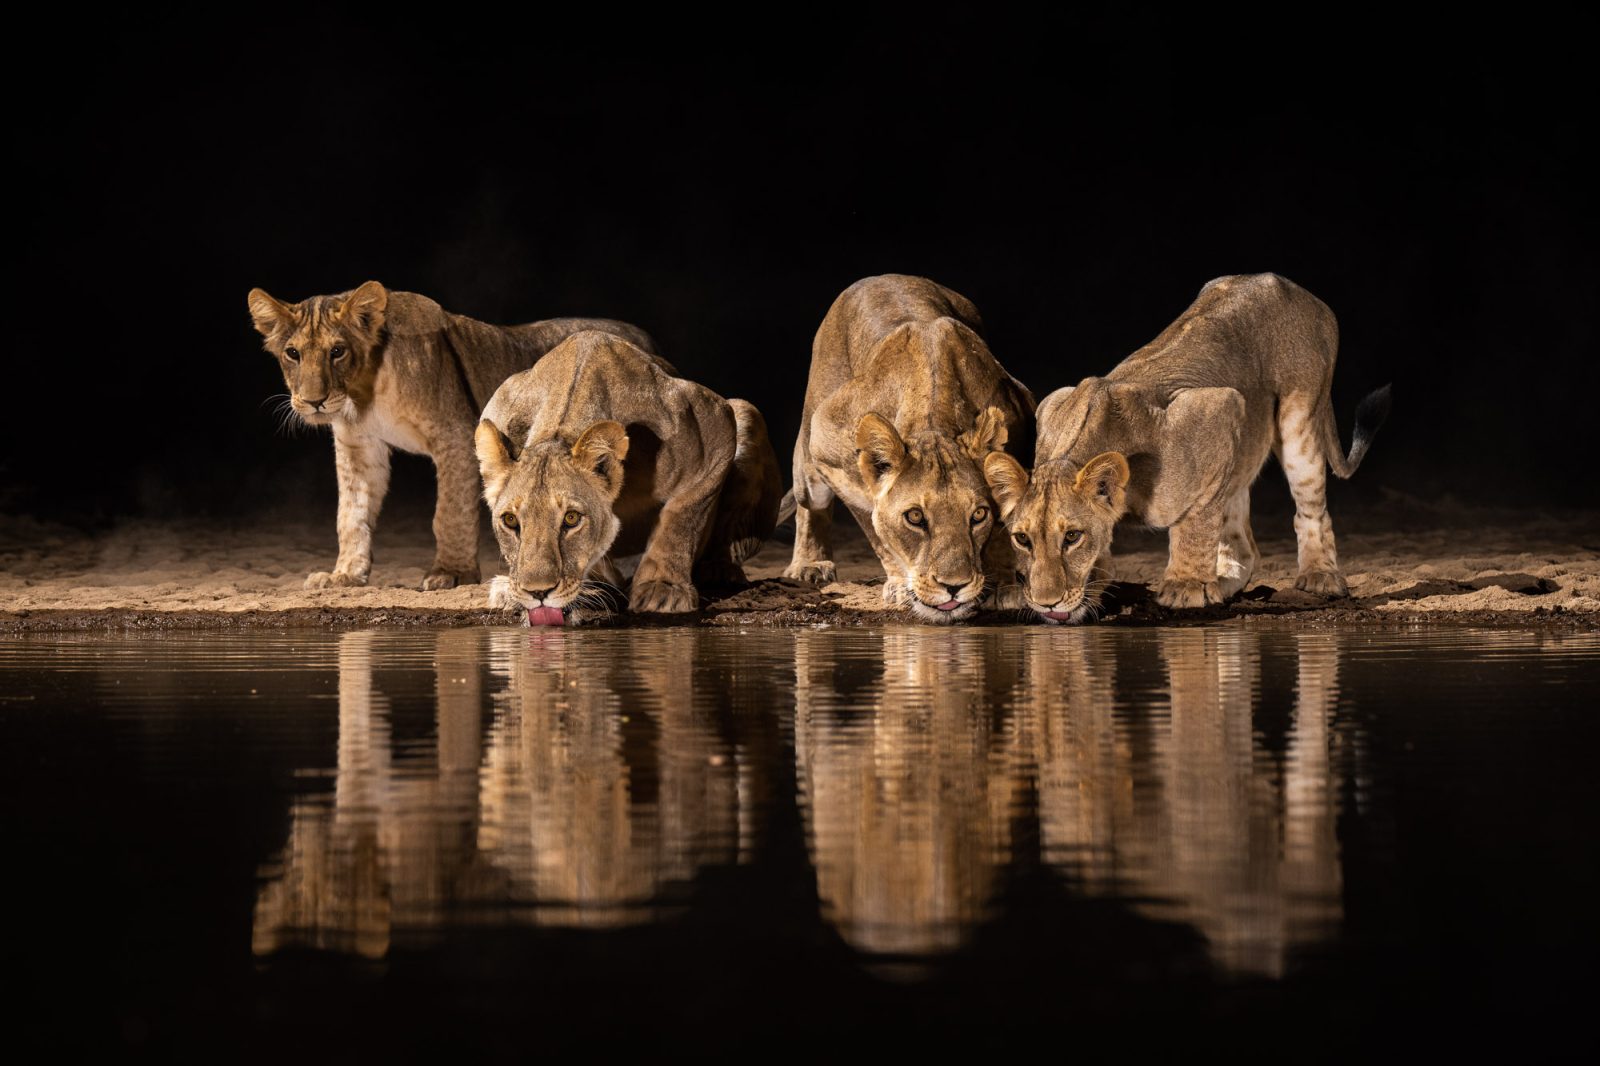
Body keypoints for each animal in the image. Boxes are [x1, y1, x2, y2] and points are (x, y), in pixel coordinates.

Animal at [247, 281, 654, 590]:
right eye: (292, 353)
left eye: (337, 351)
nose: (314, 401)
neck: (363, 394)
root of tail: (642, 338)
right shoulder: (359, 446)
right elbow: (351, 513)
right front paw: (345, 575)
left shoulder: (455, 434)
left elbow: (449, 513)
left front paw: (452, 573)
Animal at [474, 330, 782, 624]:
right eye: (510, 521)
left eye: (571, 519)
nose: (537, 592)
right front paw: (513, 589)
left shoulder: (714, 425)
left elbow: (682, 518)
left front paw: (663, 588)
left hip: (747, 413)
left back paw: (718, 569)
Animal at [784, 274, 1036, 623]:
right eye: (914, 517)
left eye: (978, 515)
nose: (954, 587)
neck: (932, 418)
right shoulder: (831, 452)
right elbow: (876, 531)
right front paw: (902, 587)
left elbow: (1004, 527)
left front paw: (1001, 584)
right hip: (810, 460)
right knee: (810, 504)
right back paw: (810, 564)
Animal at [983, 273, 1390, 621]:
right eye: (1022, 539)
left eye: (1072, 537)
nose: (1046, 602)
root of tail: (1297, 289)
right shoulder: (1053, 402)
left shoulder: (1219, 407)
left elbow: (1194, 522)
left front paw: (1186, 585)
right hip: (1240, 448)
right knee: (1243, 542)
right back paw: (1224, 581)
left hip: (1299, 418)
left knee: (1309, 507)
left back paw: (1320, 576)